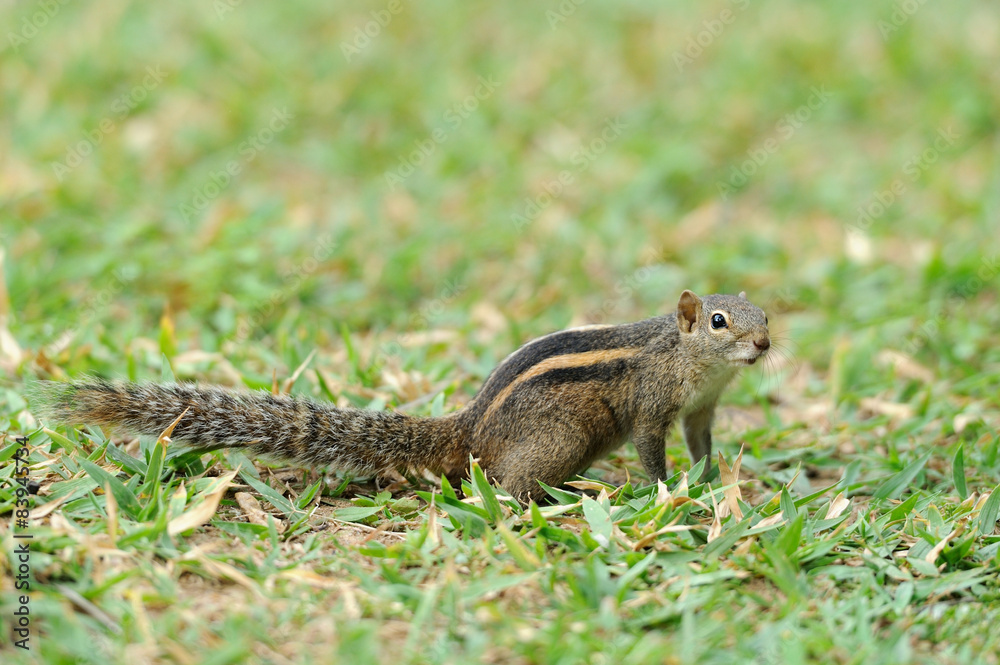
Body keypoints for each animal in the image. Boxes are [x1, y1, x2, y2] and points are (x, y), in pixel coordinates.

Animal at [31, 290, 770, 502]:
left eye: (765, 313)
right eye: (718, 321)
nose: (764, 345)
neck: (693, 362)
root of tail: (468, 428)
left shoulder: (702, 409)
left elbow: (702, 441)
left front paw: (709, 477)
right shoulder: (652, 404)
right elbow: (650, 449)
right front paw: (668, 489)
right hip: (561, 439)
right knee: (505, 486)